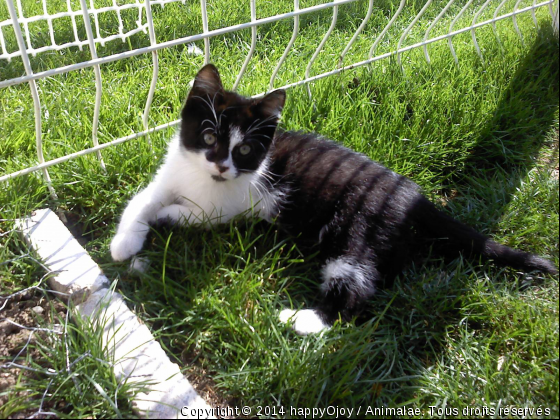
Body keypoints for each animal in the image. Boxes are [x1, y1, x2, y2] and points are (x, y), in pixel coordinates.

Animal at [111, 64, 556, 336]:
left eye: (245, 151)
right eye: (207, 137)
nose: (221, 165)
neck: (201, 178)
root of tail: (416, 198)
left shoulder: (236, 204)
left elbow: (199, 214)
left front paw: (170, 216)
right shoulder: (170, 172)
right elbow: (142, 200)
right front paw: (125, 242)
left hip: (363, 229)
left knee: (358, 286)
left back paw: (304, 318)